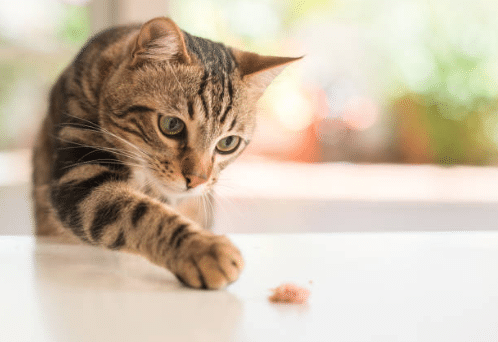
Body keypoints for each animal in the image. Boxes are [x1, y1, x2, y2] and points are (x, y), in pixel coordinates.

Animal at [33, 16, 302, 288]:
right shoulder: (80, 173)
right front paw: (203, 247)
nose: (197, 180)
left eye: (228, 143)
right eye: (172, 125)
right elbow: (138, 213)